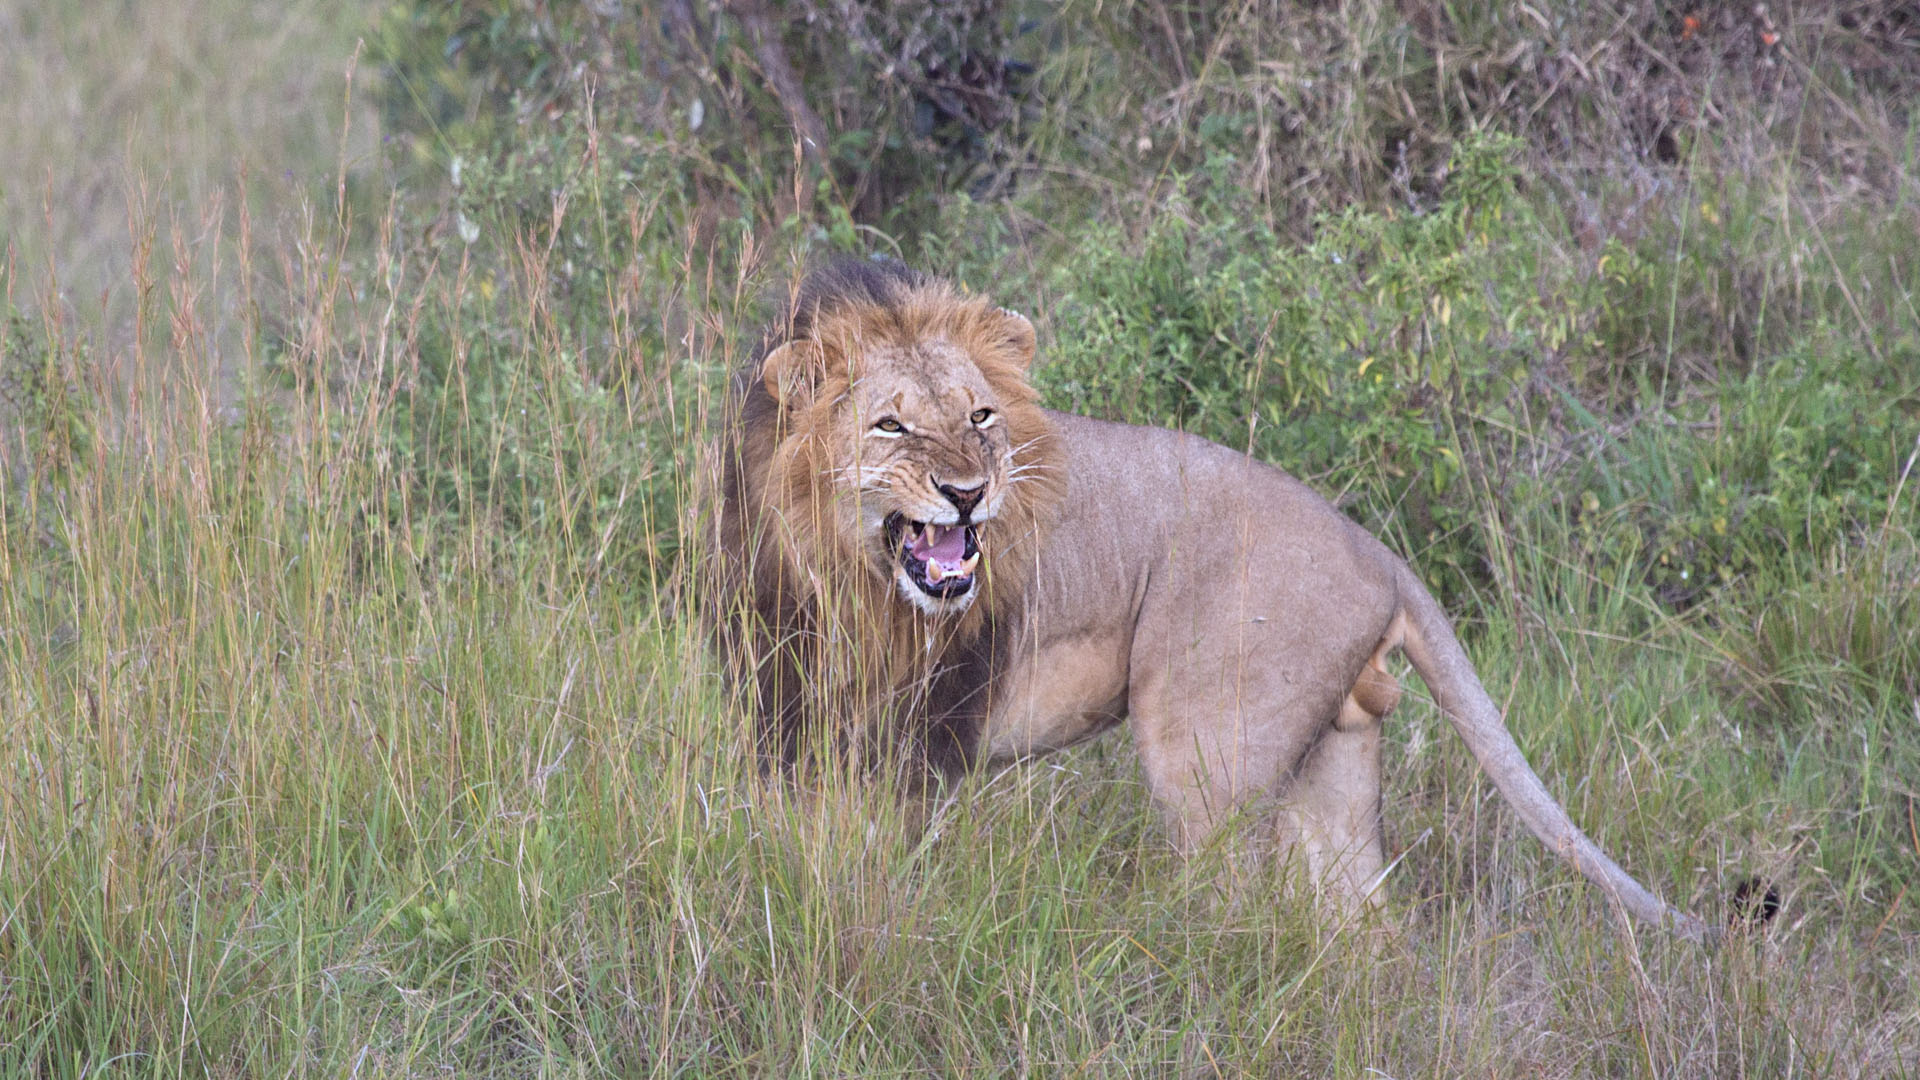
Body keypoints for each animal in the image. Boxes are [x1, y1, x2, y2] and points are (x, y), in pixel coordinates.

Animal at [718, 255, 1712, 937]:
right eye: (890, 424)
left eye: (981, 417)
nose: (968, 493)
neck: (837, 576)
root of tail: (1379, 552)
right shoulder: (779, 714)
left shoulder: (923, 737)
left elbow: (875, 861)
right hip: (1332, 761)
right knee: (1369, 929)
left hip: (1203, 748)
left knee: (1231, 905)